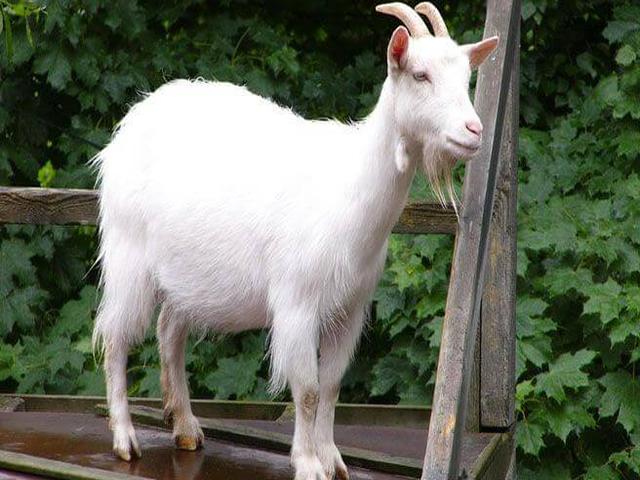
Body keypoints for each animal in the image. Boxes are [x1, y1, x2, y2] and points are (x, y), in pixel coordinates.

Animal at [92, 3, 498, 479]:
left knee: (169, 333)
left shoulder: (350, 308)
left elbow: (332, 384)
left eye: (466, 78)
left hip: (185, 275)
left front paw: (332, 458)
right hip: (128, 257)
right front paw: (308, 463)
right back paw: (124, 438)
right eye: (420, 74)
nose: (474, 130)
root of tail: (132, 121)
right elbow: (306, 389)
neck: (350, 187)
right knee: (115, 337)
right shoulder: (297, 302)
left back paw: (187, 428)